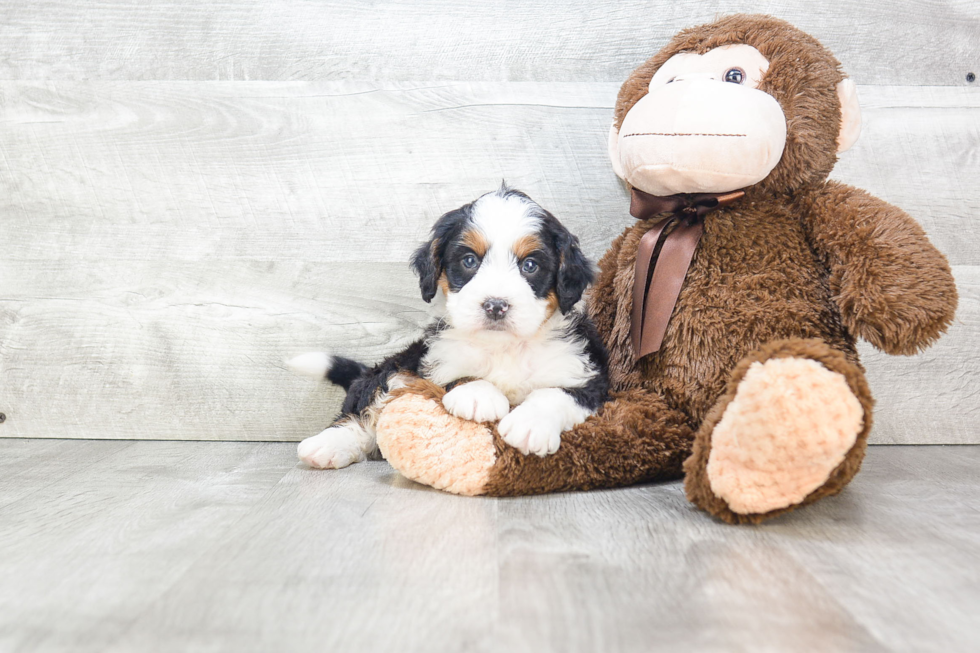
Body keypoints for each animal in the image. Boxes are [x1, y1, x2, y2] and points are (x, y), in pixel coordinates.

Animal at [288, 185, 608, 468]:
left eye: (530, 265)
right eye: (469, 261)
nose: (495, 305)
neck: (503, 347)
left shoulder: (586, 375)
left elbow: (557, 393)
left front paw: (529, 424)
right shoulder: (434, 363)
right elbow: (456, 375)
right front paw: (479, 394)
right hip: (398, 366)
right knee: (368, 405)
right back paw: (328, 445)